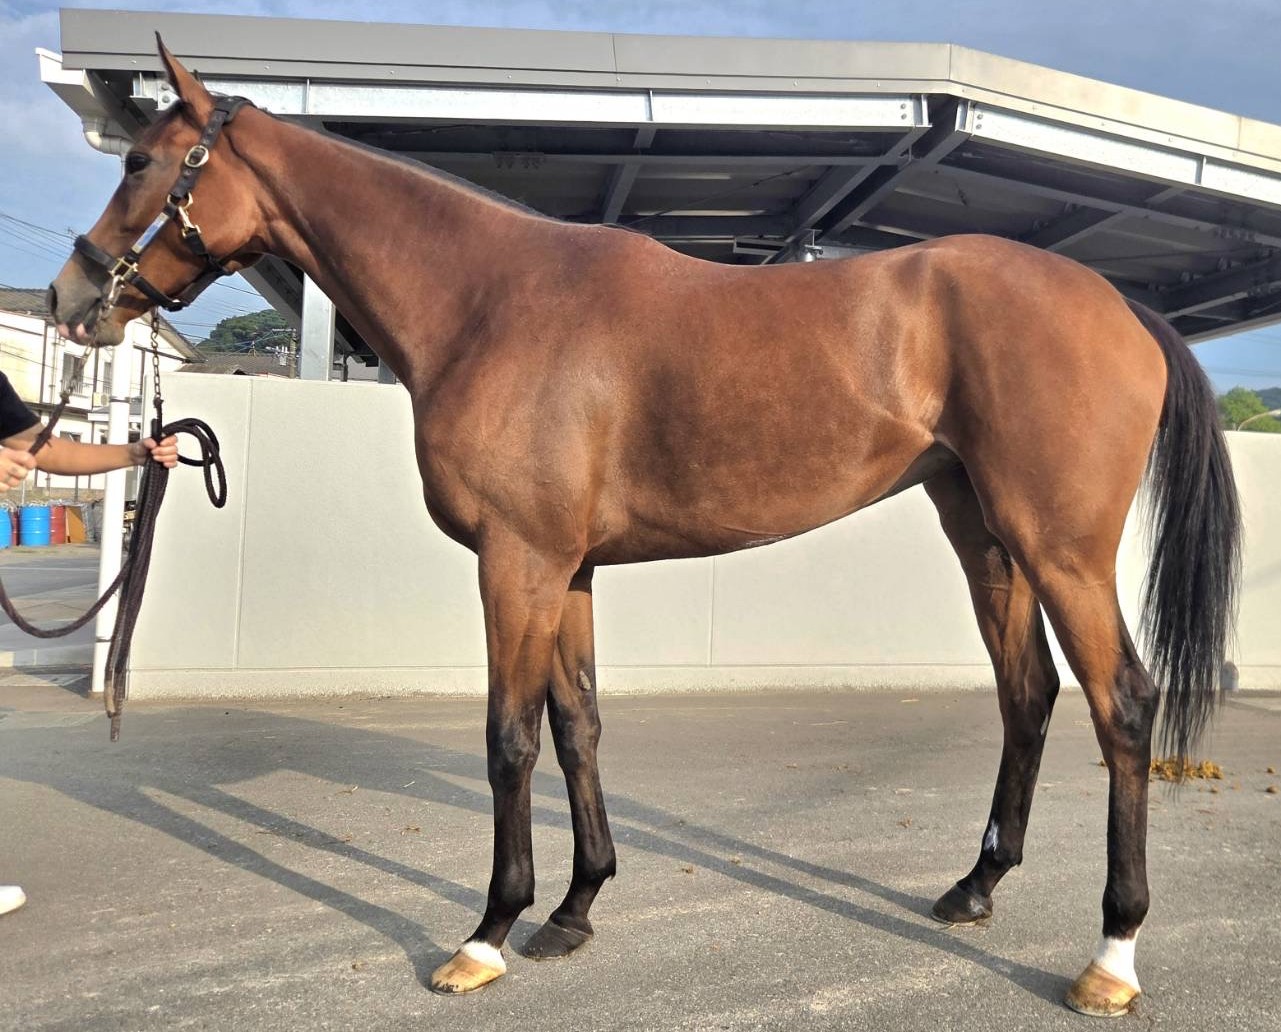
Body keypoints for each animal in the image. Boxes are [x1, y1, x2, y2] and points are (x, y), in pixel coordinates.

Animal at [48, 40, 1239, 1017]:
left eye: (144, 163)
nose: (69, 297)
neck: (490, 300)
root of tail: (1121, 306)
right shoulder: (566, 570)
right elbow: (577, 725)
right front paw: (575, 909)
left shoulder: (518, 564)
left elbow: (509, 738)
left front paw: (489, 931)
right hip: (986, 536)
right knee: (1026, 696)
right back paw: (975, 887)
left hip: (1061, 551)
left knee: (1121, 706)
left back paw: (1111, 958)